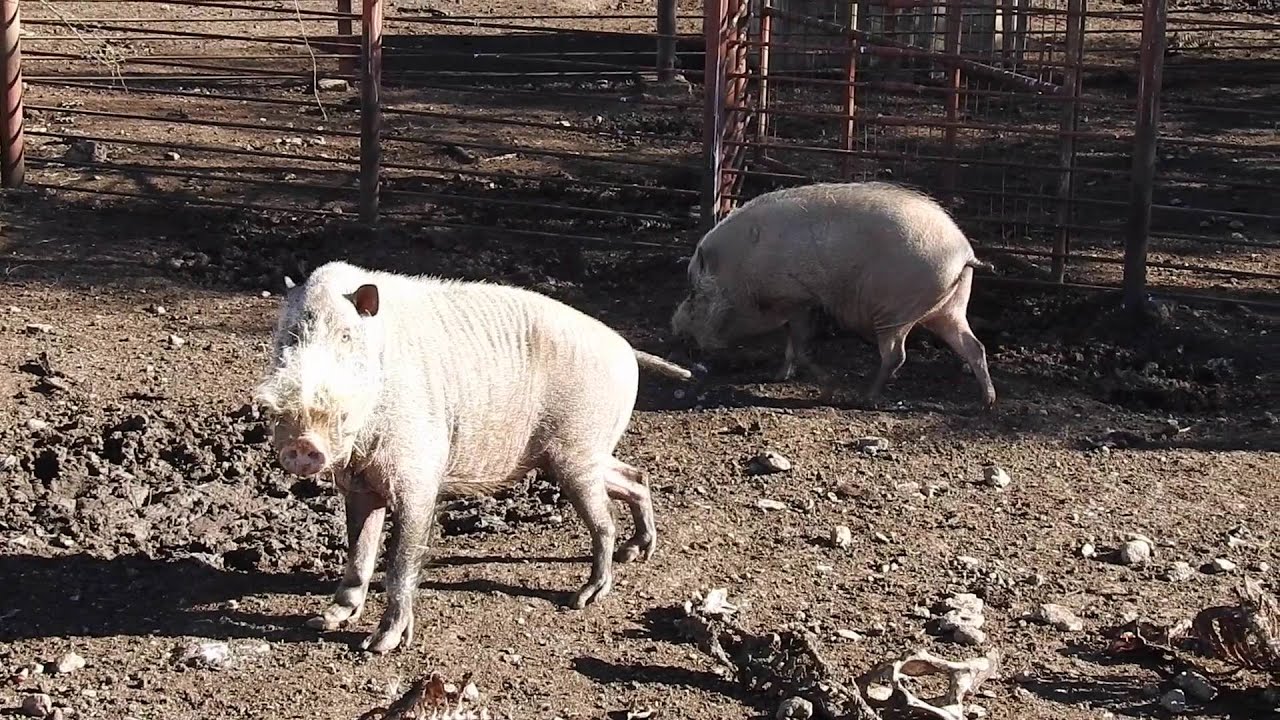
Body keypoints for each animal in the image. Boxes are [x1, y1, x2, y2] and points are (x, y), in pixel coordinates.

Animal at [252, 261, 692, 653]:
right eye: (290, 335)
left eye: (345, 336)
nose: (302, 444)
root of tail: (627, 348)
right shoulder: (359, 485)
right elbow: (358, 555)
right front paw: (322, 621)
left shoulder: (420, 478)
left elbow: (399, 563)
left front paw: (378, 646)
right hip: (582, 455)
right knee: (636, 477)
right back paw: (639, 552)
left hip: (577, 452)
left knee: (604, 521)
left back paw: (582, 597)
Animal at [670, 181, 996, 408]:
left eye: (694, 294)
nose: (675, 330)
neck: (741, 275)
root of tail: (964, 253)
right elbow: (791, 346)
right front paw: (777, 377)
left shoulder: (799, 300)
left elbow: (802, 348)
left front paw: (827, 389)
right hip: (949, 308)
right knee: (975, 347)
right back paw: (987, 402)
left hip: (896, 313)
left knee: (896, 355)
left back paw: (865, 398)